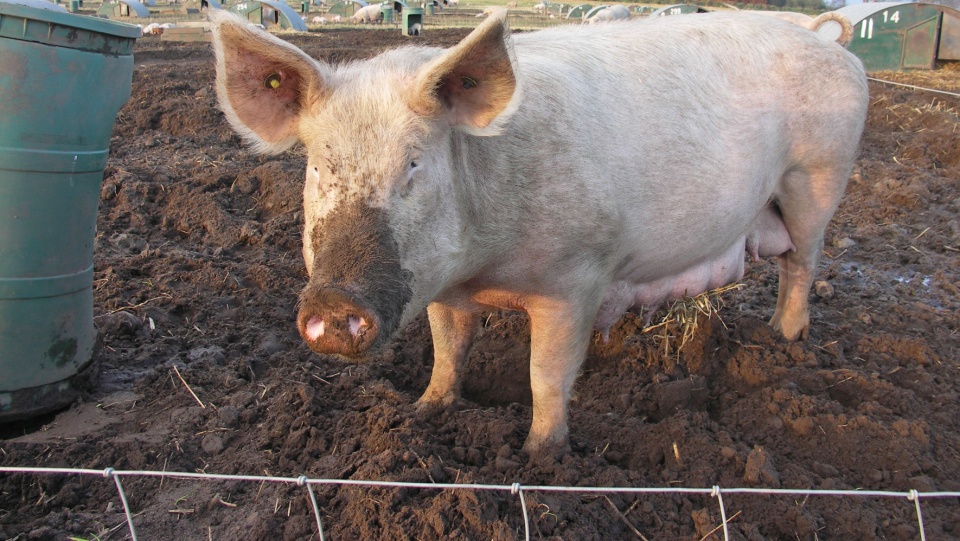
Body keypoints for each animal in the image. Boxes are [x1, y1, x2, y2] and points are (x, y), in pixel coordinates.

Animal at [210, 10, 872, 454]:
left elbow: (547, 374)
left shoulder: (576, 276)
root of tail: (831, 43)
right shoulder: (444, 287)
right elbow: (448, 351)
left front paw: (539, 457)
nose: (332, 304)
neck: (484, 268)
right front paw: (424, 413)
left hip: (820, 173)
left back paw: (784, 339)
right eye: (318, 167)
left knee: (803, 263)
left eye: (414, 165)